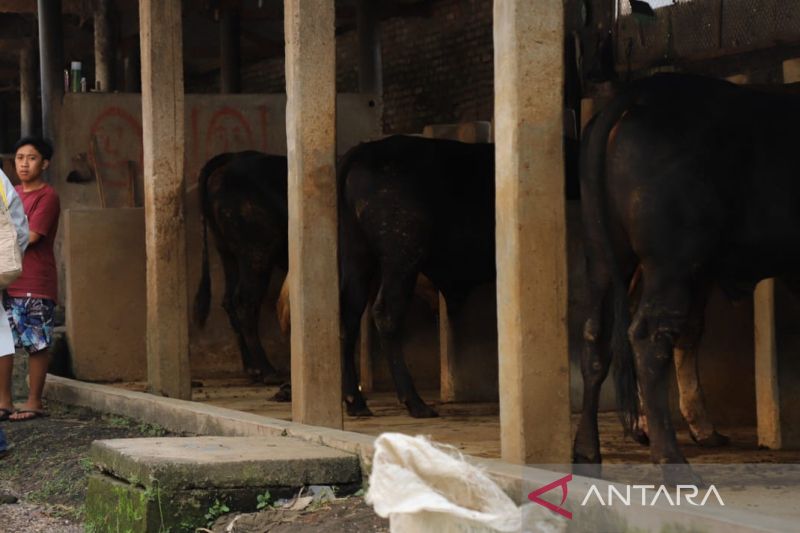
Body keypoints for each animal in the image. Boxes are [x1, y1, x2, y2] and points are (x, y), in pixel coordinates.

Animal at [193, 150, 288, 382]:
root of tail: (232, 157)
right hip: (257, 252)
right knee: (245, 301)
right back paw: (267, 370)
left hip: (228, 252)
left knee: (230, 300)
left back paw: (252, 368)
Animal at [340, 135, 496, 418]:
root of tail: (364, 151)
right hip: (402, 255)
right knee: (386, 313)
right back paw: (414, 401)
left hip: (358, 254)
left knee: (350, 314)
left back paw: (355, 401)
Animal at [572, 72, 800, 484]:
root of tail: (640, 93)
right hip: (671, 261)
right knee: (648, 337)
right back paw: (673, 463)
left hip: (603, 256)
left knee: (596, 336)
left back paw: (586, 454)